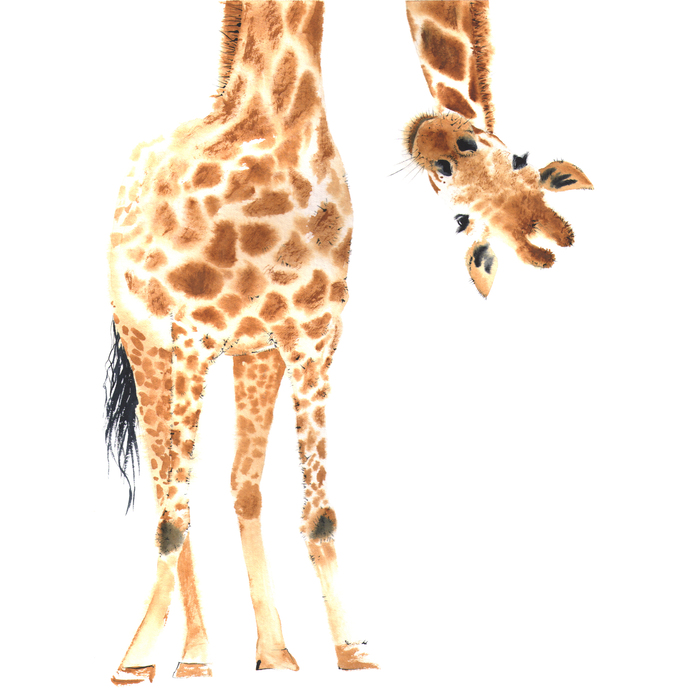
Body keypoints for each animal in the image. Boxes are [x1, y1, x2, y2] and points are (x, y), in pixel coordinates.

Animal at [106, 0, 376, 684]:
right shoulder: (192, 336)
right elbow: (172, 518)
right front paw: (136, 660)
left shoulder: (313, 336)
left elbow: (320, 512)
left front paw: (352, 649)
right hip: (148, 348)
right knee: (167, 488)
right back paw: (190, 654)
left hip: (253, 356)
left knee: (239, 483)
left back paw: (272, 651)